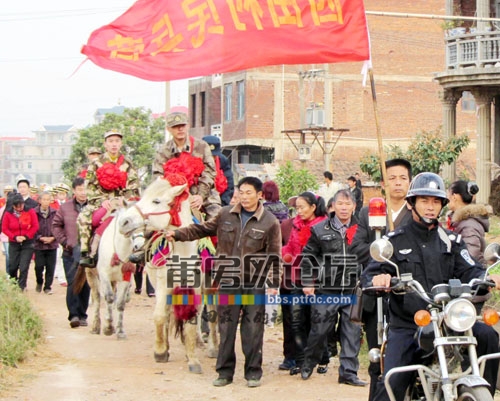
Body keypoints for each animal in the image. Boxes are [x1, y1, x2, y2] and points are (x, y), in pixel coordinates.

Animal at [119, 177, 219, 374]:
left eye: (156, 201)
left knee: (209, 312)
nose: (124, 222)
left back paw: (211, 347)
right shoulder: (163, 283)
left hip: (209, 285)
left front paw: (193, 360)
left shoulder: (194, 285)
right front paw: (160, 351)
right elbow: (160, 316)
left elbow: (191, 318)